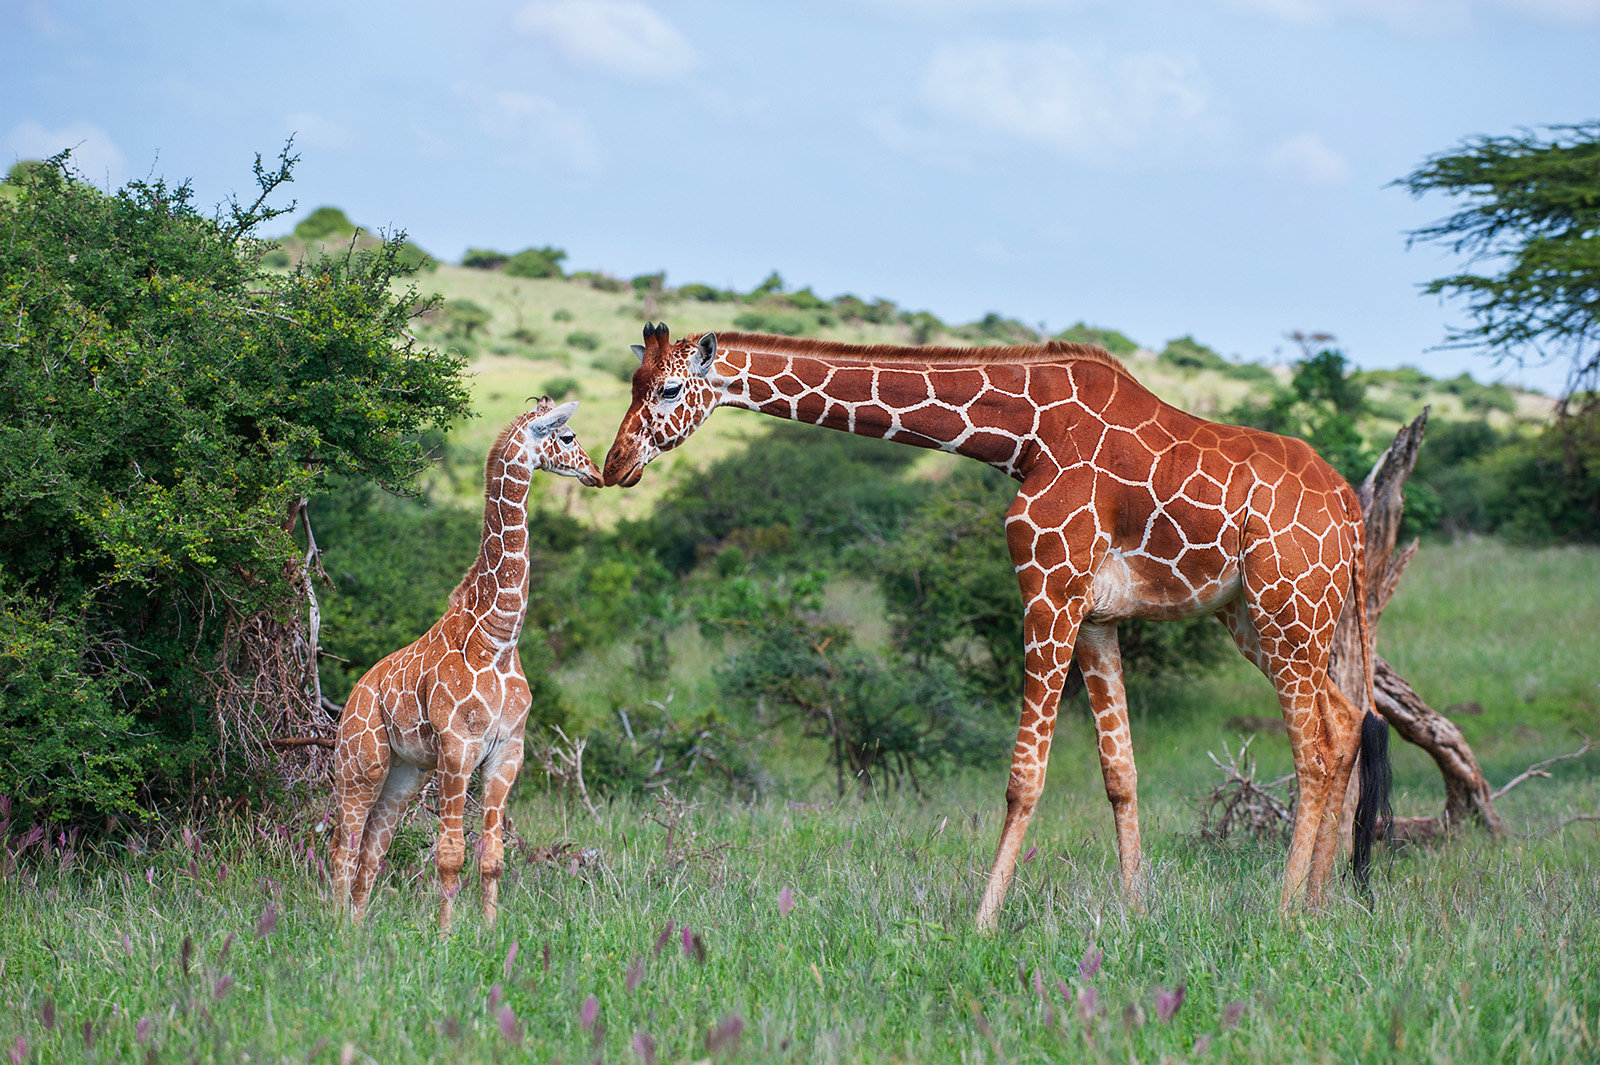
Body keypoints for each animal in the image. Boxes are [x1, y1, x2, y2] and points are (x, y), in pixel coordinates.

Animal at [329, 398, 601, 927]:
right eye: (566, 436)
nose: (596, 473)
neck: (498, 639)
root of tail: (352, 695)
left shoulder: (507, 751)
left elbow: (492, 855)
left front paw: (490, 932)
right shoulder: (457, 749)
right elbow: (450, 853)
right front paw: (445, 936)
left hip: (403, 774)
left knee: (372, 850)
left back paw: (357, 931)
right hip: (360, 765)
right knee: (342, 848)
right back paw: (333, 928)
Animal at [604, 321, 1395, 921]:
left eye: (668, 388)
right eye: (633, 385)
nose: (615, 466)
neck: (1024, 434)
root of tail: (1351, 510)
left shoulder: (1048, 587)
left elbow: (1025, 776)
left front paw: (983, 921)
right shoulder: (1096, 612)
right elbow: (1120, 771)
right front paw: (1135, 911)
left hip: (1286, 606)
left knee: (1315, 745)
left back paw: (1287, 911)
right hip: (1260, 616)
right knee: (1345, 720)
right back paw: (1322, 903)